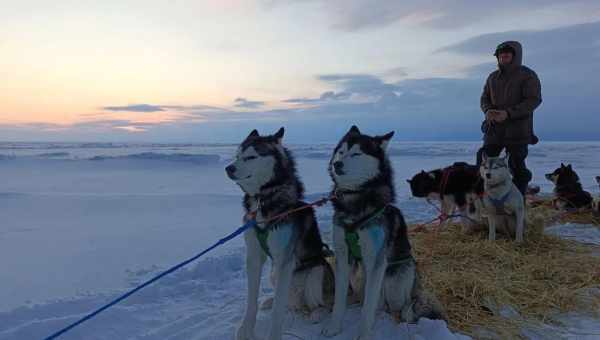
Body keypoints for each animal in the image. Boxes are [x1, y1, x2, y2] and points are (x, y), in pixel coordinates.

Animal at [227, 128, 336, 340]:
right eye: (237, 156)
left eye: (251, 156)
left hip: (315, 273)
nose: (229, 168)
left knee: (321, 303)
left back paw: (316, 313)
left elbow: (278, 311)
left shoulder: (285, 260)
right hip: (274, 274)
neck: (263, 200)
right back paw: (270, 301)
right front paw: (246, 330)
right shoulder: (254, 256)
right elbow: (251, 302)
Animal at [322, 126, 442, 340]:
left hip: (397, 280)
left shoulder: (376, 262)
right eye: (341, 152)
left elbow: (369, 307)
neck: (356, 202)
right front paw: (334, 328)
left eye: (356, 153)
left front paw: (363, 334)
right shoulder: (343, 258)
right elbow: (339, 301)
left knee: (401, 306)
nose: (337, 164)